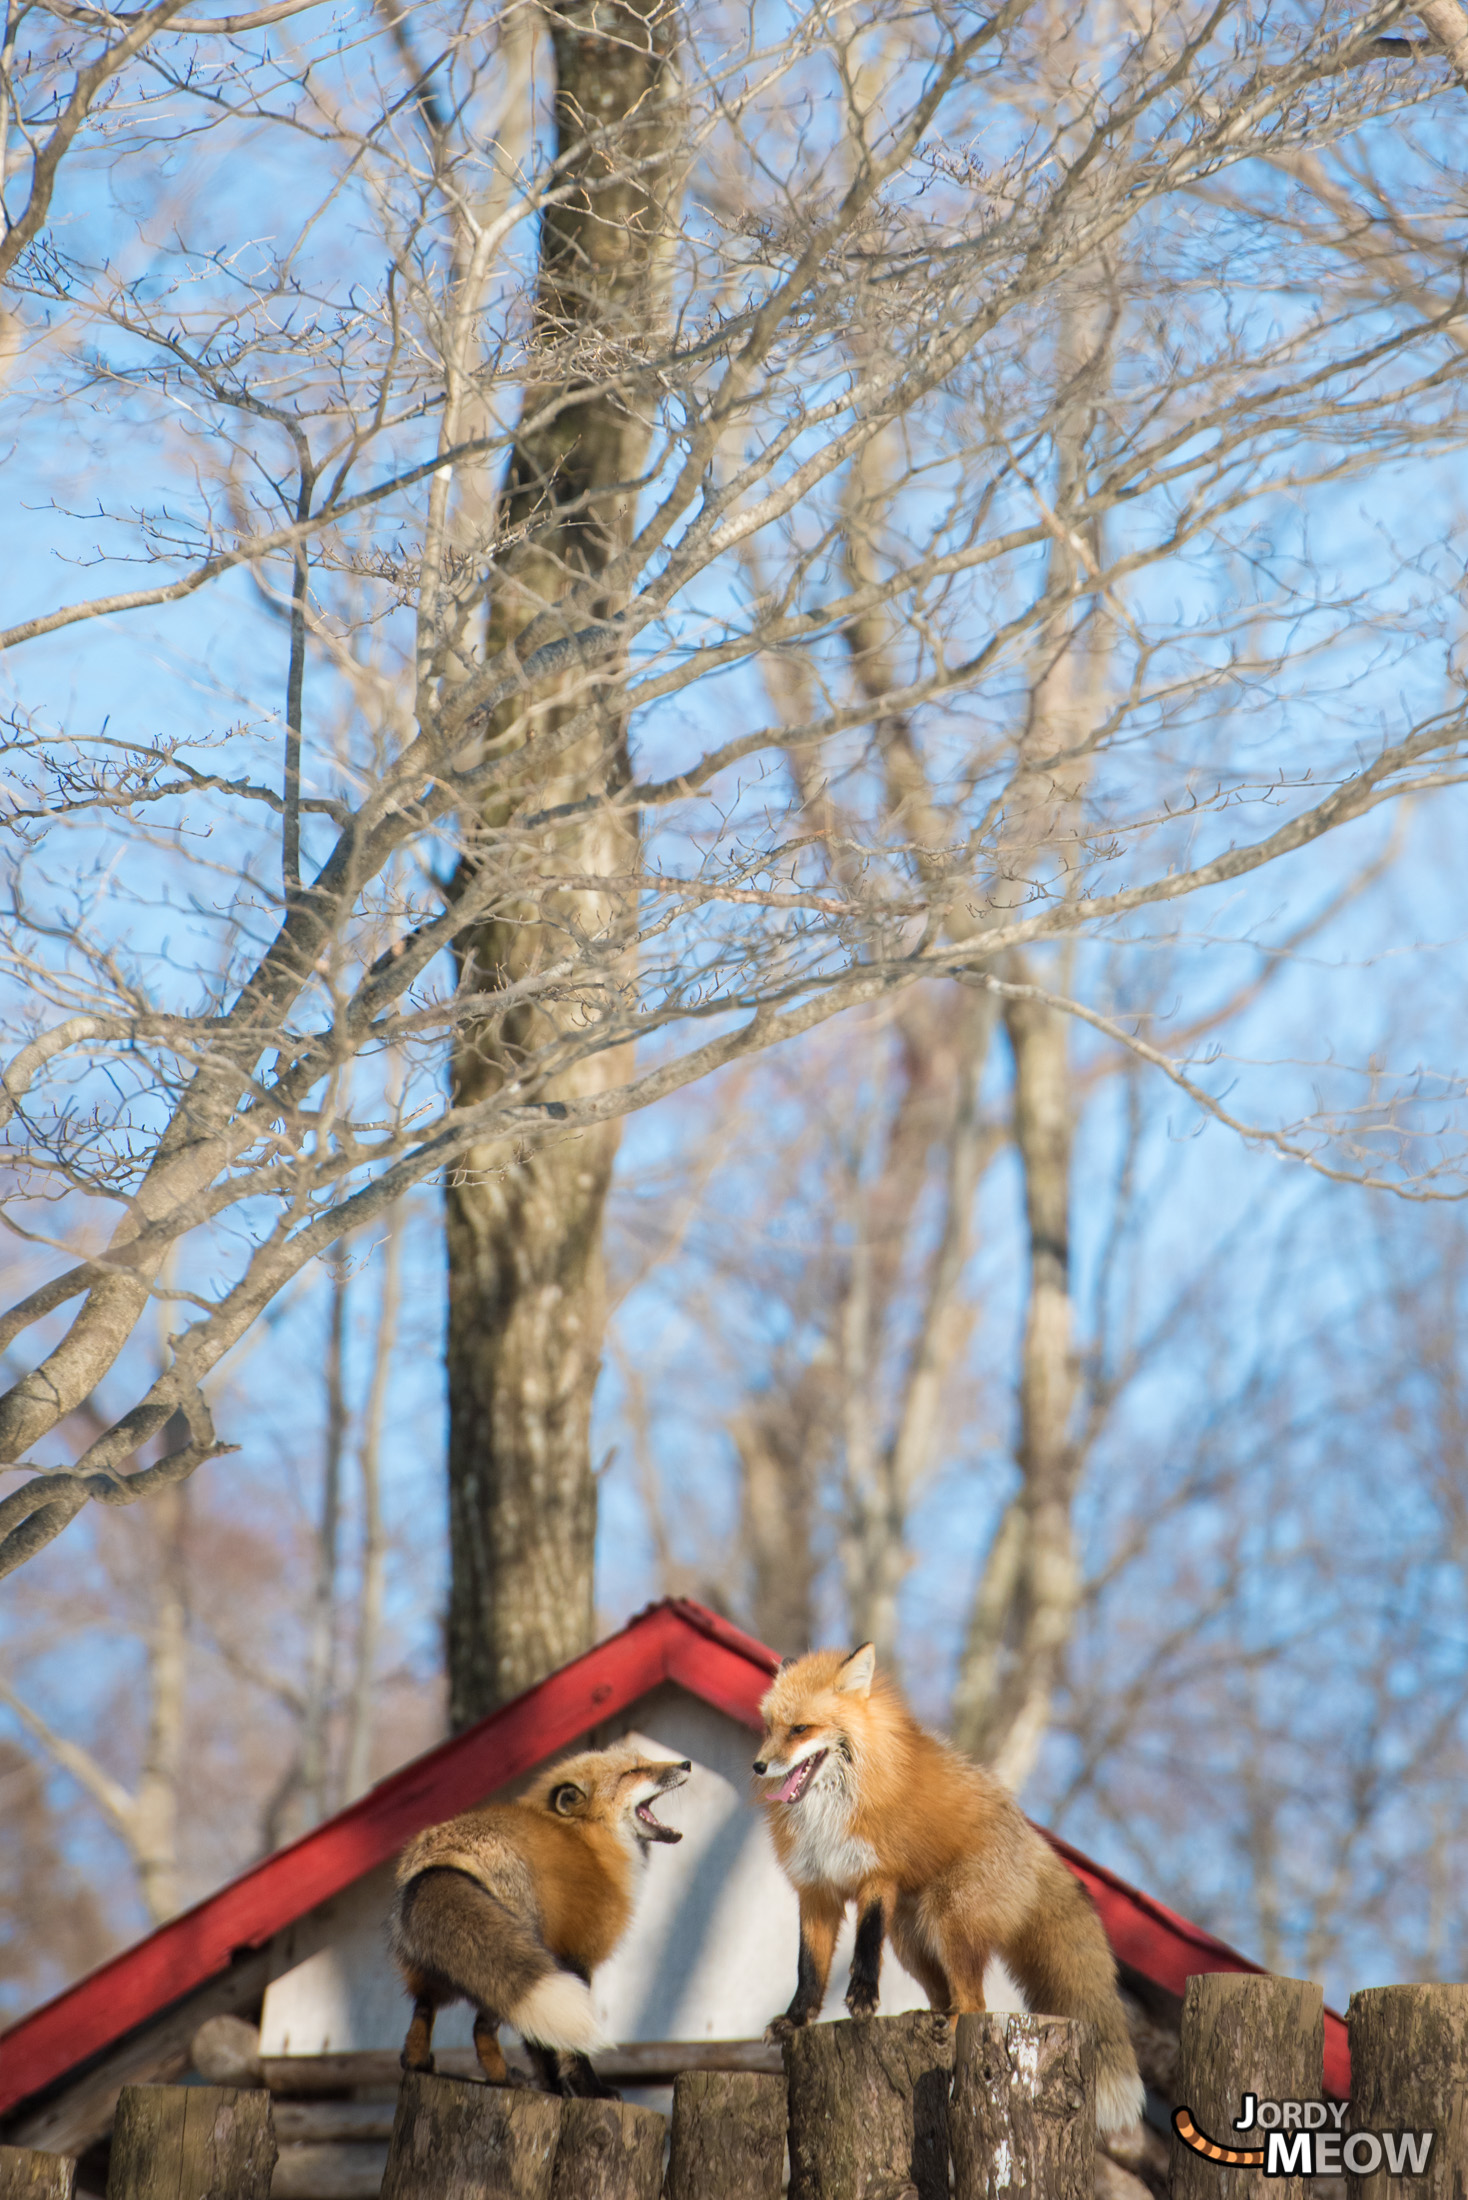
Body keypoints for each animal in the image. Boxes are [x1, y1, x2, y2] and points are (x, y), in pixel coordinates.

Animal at [389, 1733, 691, 2094]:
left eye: (643, 1761)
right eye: (633, 1771)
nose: (687, 1763)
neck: (588, 1840)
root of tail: (439, 1862)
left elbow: (540, 2044)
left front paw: (554, 2089)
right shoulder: (574, 1957)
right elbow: (565, 2047)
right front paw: (589, 2090)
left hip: (440, 1971)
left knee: (422, 2013)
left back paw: (423, 2064)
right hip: (506, 1968)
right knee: (480, 2028)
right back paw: (504, 2077)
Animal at [757, 1654, 1144, 2129]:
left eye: (800, 1729)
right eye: (769, 1727)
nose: (758, 1766)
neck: (827, 1811)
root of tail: (1034, 1839)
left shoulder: (877, 1876)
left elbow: (865, 1944)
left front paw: (863, 1998)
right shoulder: (816, 1891)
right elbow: (809, 1969)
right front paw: (796, 2021)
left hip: (948, 1919)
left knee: (974, 2003)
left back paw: (953, 2022)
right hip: (911, 1941)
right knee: (947, 1995)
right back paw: (932, 2020)